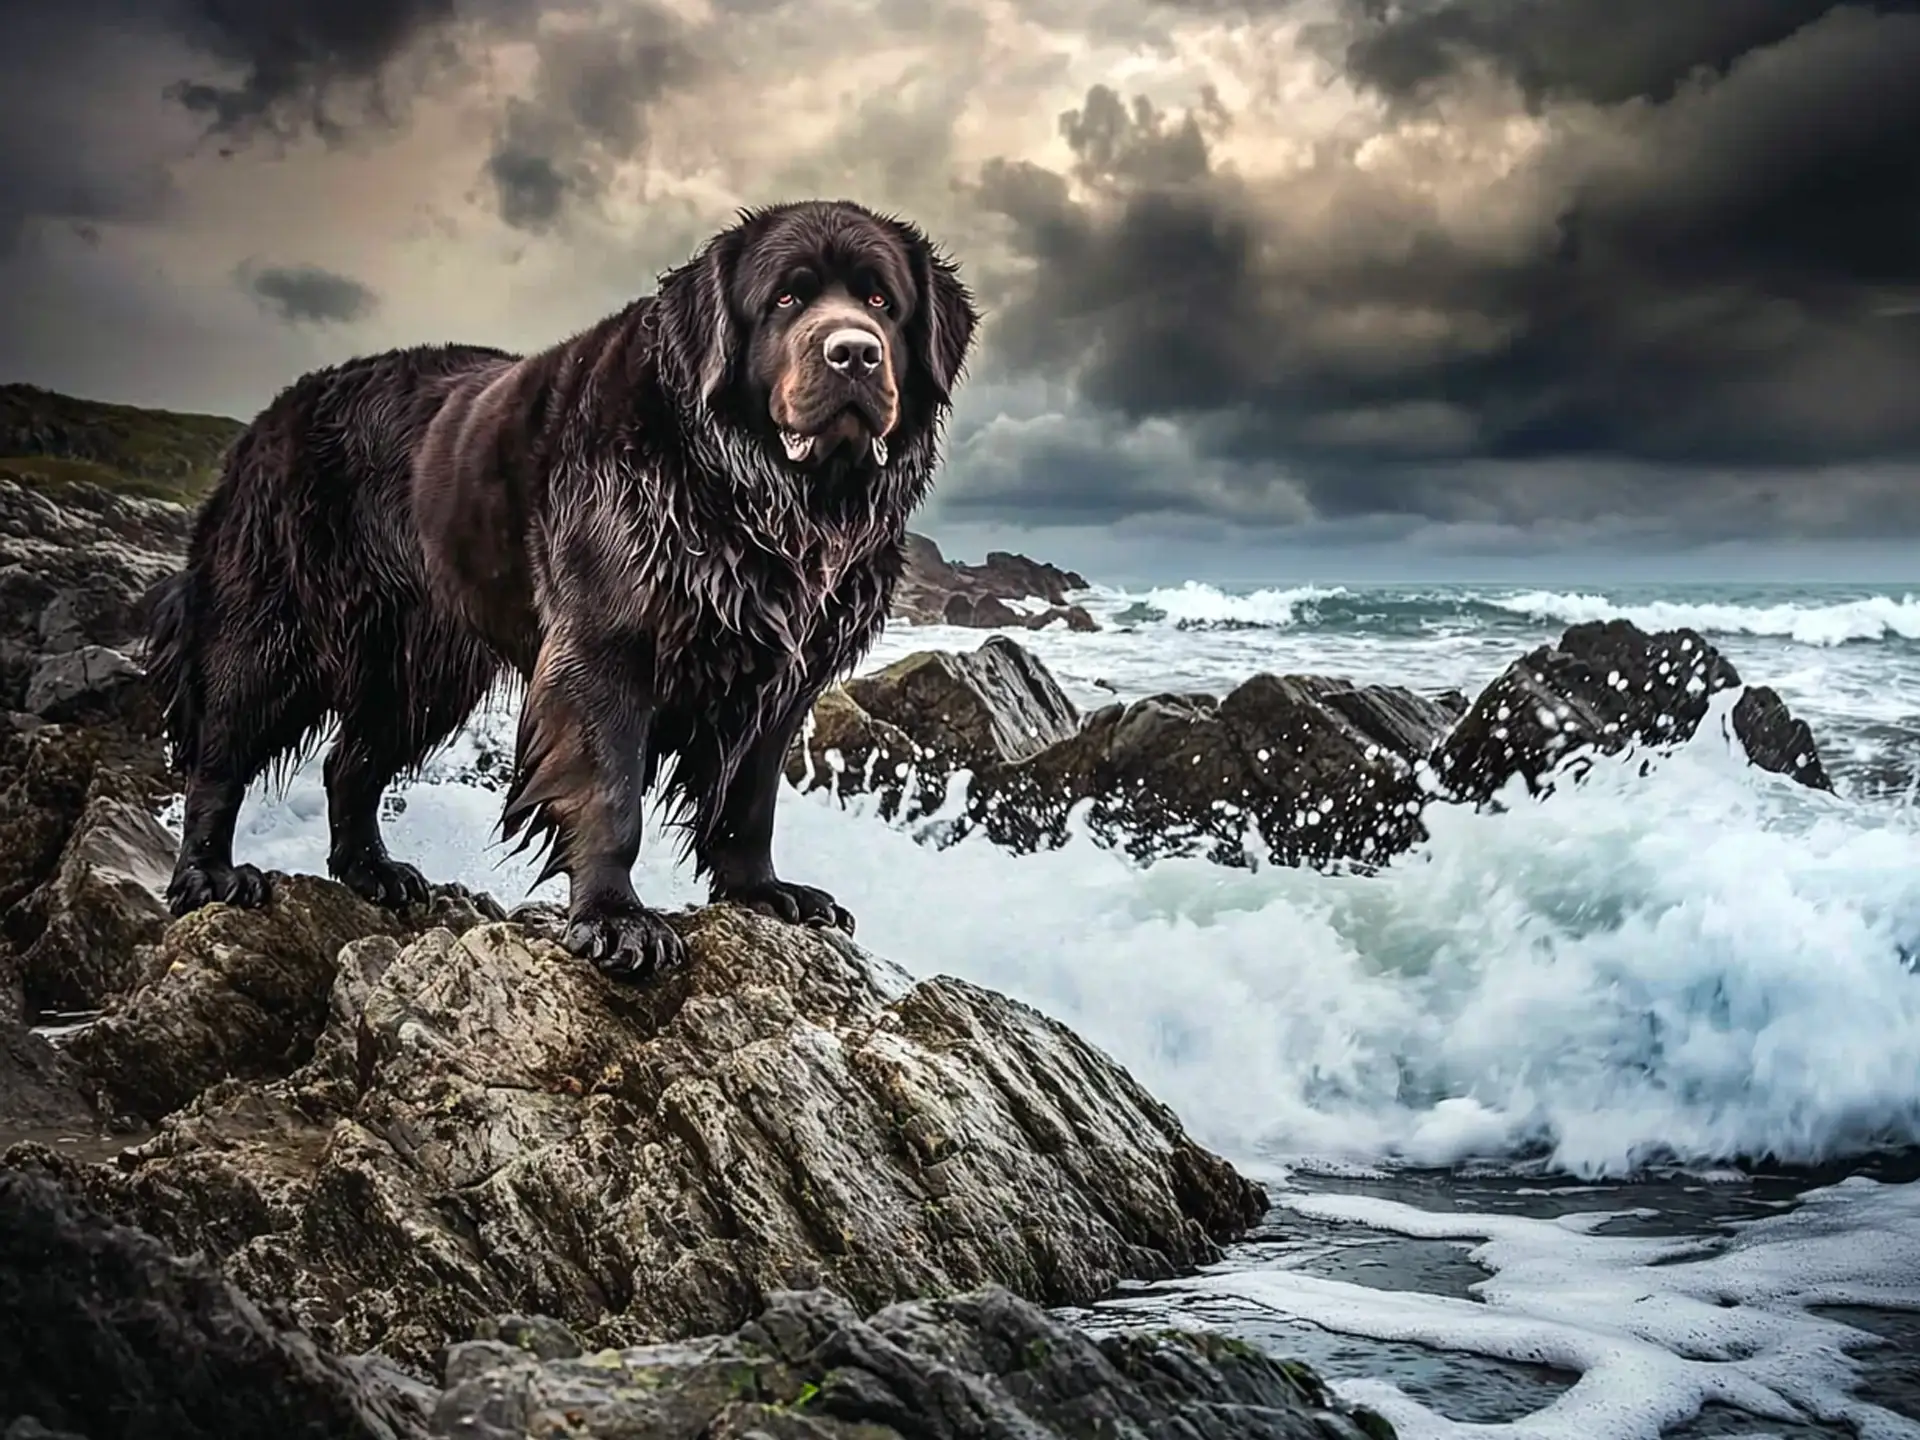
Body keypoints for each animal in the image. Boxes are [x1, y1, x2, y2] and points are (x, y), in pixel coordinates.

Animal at [149, 200, 983, 983]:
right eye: (785, 298)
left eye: (880, 301)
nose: (854, 352)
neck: (757, 491)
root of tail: (265, 420)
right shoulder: (606, 648)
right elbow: (611, 795)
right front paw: (616, 919)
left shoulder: (781, 679)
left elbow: (748, 800)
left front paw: (765, 892)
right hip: (276, 628)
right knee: (221, 748)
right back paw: (210, 874)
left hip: (424, 670)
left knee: (349, 762)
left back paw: (373, 872)